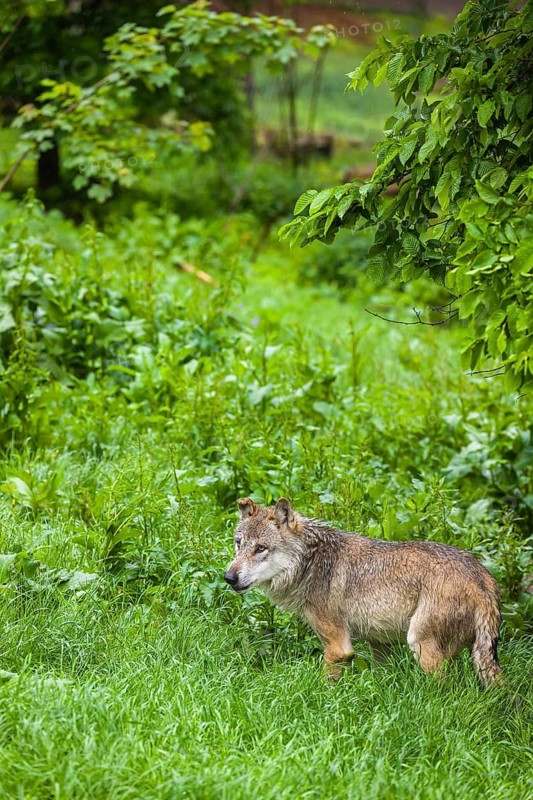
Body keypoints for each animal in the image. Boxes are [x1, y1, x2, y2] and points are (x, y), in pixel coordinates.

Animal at [224, 498, 502, 684]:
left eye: (260, 548)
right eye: (239, 544)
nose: (229, 577)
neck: (310, 562)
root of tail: (483, 581)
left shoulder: (338, 649)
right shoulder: (379, 644)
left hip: (421, 645)